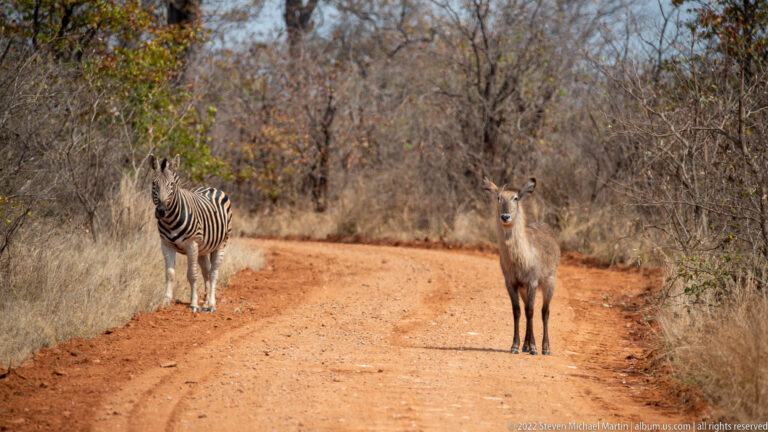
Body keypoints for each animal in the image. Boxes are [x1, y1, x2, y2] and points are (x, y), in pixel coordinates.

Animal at [149, 154, 232, 312]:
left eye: (172, 185)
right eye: (154, 184)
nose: (161, 211)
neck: (170, 220)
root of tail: (210, 187)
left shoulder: (192, 244)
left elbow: (192, 275)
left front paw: (193, 303)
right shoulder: (166, 244)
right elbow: (169, 274)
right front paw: (165, 302)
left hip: (221, 243)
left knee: (213, 273)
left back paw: (211, 305)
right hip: (203, 249)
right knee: (206, 272)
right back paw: (206, 302)